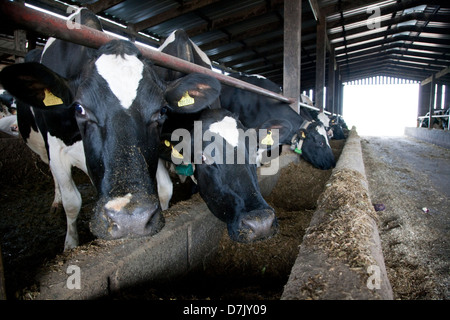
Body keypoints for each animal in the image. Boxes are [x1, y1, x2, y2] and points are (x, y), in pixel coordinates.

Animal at [0, 9, 221, 250]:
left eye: (162, 110)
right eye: (79, 108)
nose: (130, 220)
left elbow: (164, 188)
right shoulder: (56, 148)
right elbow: (72, 202)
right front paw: (70, 245)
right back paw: (56, 201)